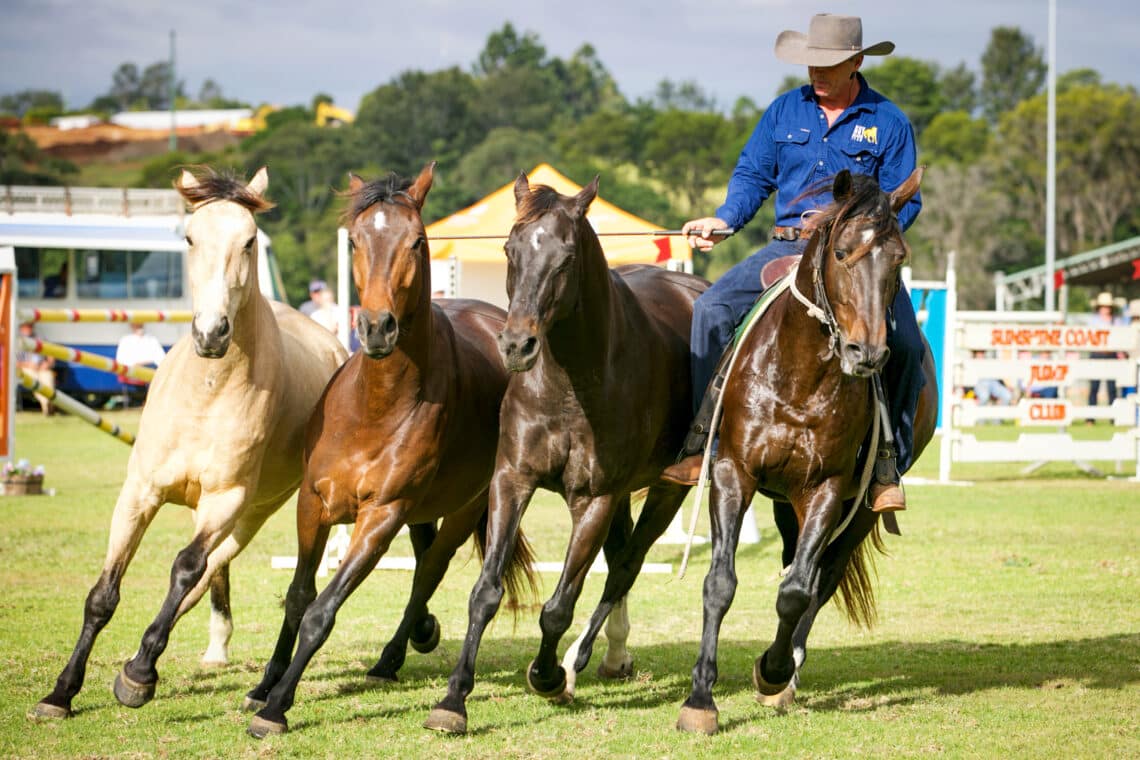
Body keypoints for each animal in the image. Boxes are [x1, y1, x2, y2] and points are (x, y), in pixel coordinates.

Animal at [32, 166, 346, 720]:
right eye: (190, 238)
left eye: (249, 242)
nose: (212, 333)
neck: (209, 391)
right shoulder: (139, 493)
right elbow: (103, 593)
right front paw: (61, 692)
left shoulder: (227, 500)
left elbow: (184, 568)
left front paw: (138, 674)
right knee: (210, 578)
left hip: (254, 512)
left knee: (217, 574)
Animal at [242, 164, 535, 738]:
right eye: (356, 240)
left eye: (417, 241)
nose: (376, 327)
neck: (375, 404)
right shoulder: (312, 502)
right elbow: (298, 597)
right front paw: (266, 684)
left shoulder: (381, 514)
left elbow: (322, 611)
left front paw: (277, 706)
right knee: (423, 559)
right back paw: (412, 637)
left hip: (465, 506)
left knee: (430, 570)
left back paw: (397, 652)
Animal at [424, 174, 706, 738]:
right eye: (509, 249)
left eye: (567, 257)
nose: (517, 345)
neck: (569, 384)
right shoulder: (512, 480)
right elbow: (485, 593)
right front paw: (453, 699)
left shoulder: (594, 499)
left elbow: (559, 606)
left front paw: (549, 675)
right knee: (620, 559)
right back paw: (613, 657)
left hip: (666, 488)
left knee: (626, 566)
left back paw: (578, 662)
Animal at [674, 169, 934, 733]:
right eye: (841, 252)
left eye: (899, 257)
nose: (868, 353)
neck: (799, 376)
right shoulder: (733, 474)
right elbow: (720, 582)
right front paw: (700, 699)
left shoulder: (827, 489)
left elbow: (797, 591)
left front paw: (772, 672)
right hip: (781, 499)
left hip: (854, 510)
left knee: (819, 577)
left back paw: (786, 671)